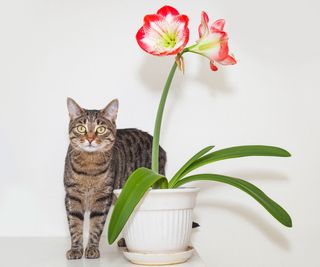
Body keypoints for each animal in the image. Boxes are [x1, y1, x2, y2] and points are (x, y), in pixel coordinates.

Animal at [64, 98, 166, 260]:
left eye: (100, 129)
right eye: (81, 128)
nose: (90, 139)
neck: (89, 168)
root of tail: (161, 149)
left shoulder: (102, 197)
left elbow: (96, 225)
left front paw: (92, 249)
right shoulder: (72, 196)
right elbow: (74, 226)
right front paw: (75, 249)